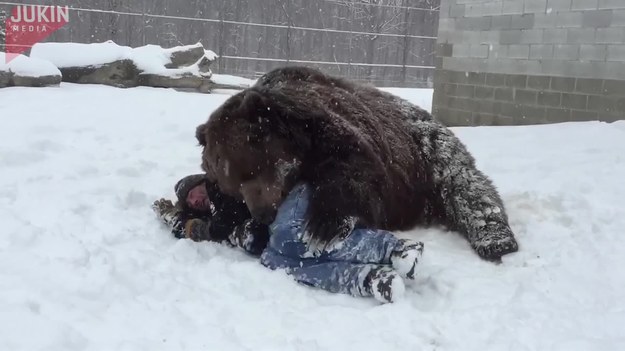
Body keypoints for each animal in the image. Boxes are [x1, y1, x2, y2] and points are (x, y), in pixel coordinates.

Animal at [197, 66, 520, 262]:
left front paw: (323, 225)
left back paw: (496, 240)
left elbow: (358, 174)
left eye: (253, 168)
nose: (264, 213)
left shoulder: (332, 132)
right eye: (233, 183)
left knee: (465, 187)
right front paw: (234, 224)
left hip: (428, 150)